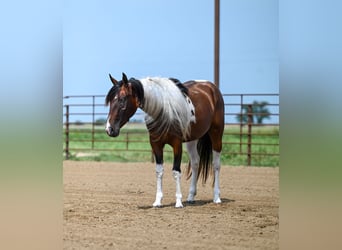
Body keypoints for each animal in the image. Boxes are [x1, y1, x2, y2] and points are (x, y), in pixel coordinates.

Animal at [105, 72, 226, 207]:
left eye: (122, 100)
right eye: (111, 101)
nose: (109, 129)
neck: (164, 110)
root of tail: (211, 87)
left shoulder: (177, 144)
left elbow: (176, 171)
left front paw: (178, 202)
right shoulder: (156, 144)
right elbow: (159, 171)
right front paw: (157, 201)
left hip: (216, 134)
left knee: (216, 165)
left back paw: (216, 197)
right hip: (192, 140)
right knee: (195, 163)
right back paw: (191, 196)